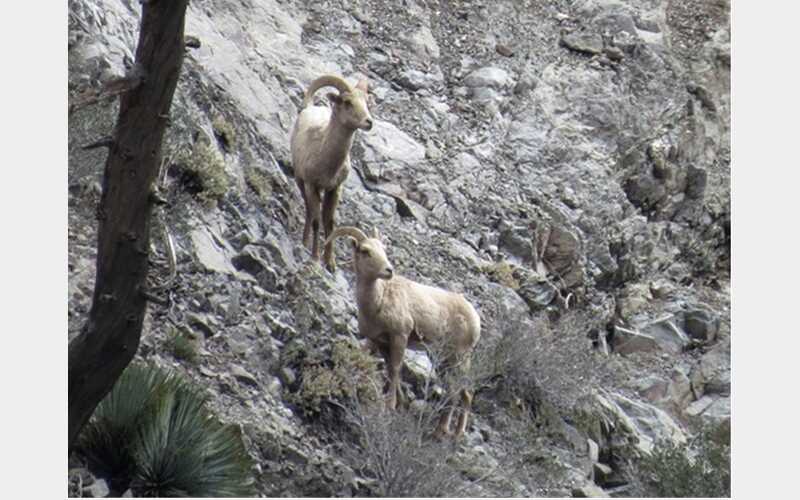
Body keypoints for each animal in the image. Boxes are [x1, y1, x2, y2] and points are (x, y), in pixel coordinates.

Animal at [290, 74, 374, 272]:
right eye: (347, 102)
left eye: (367, 102)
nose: (369, 122)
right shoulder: (312, 185)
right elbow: (316, 221)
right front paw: (315, 258)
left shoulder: (334, 189)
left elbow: (330, 223)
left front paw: (330, 263)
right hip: (300, 182)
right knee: (309, 211)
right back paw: (304, 243)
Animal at [326, 226, 481, 439]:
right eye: (365, 251)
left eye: (383, 249)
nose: (388, 270)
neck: (378, 301)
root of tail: (475, 319)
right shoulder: (380, 342)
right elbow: (390, 369)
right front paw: (399, 404)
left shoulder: (400, 336)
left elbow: (395, 368)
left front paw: (390, 405)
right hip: (445, 359)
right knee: (461, 391)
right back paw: (449, 432)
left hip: (459, 357)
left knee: (458, 390)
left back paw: (448, 433)